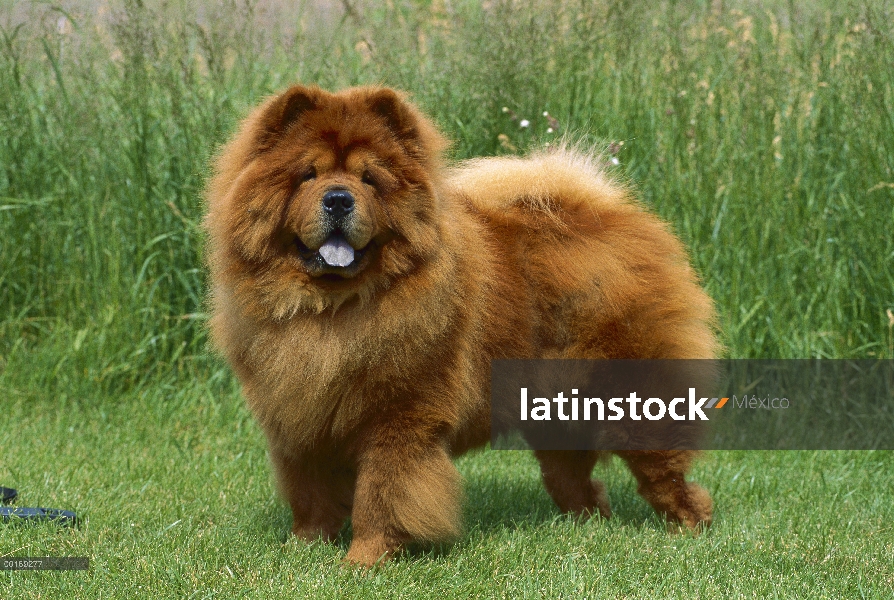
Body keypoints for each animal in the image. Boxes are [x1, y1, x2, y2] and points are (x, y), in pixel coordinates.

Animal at [205, 85, 720, 568]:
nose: (337, 199)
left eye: (370, 180)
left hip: (631, 397)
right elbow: (310, 492)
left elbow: (381, 494)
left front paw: (363, 561)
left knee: (663, 471)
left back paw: (691, 526)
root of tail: (610, 215)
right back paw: (587, 524)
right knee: (572, 475)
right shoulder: (299, 416)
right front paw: (303, 548)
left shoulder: (400, 417)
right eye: (307, 175)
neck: (335, 309)